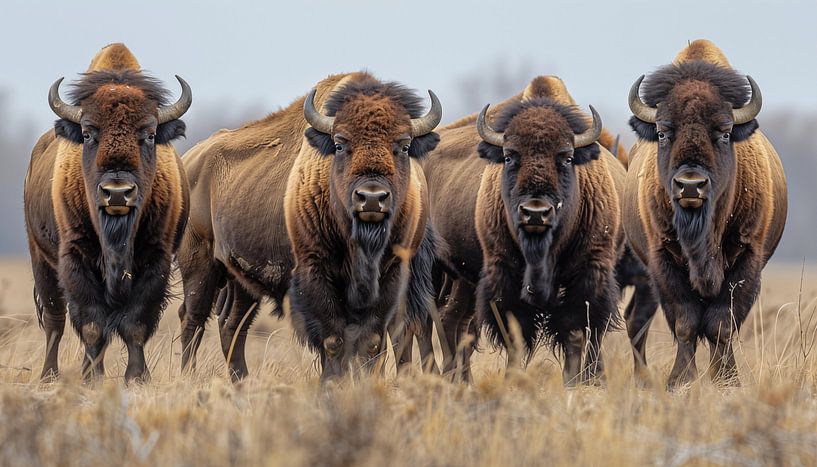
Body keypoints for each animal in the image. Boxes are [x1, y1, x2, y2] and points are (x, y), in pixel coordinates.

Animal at [24, 43, 191, 383]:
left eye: (150, 134)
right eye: (88, 133)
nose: (117, 192)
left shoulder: (156, 260)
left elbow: (135, 325)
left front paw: (137, 377)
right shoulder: (74, 259)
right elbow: (92, 325)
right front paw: (93, 377)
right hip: (40, 259)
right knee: (54, 320)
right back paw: (50, 375)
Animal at [624, 40, 787, 388]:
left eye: (724, 132)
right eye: (662, 132)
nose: (690, 186)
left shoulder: (746, 257)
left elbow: (720, 324)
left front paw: (727, 380)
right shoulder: (663, 261)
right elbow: (686, 323)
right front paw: (680, 380)